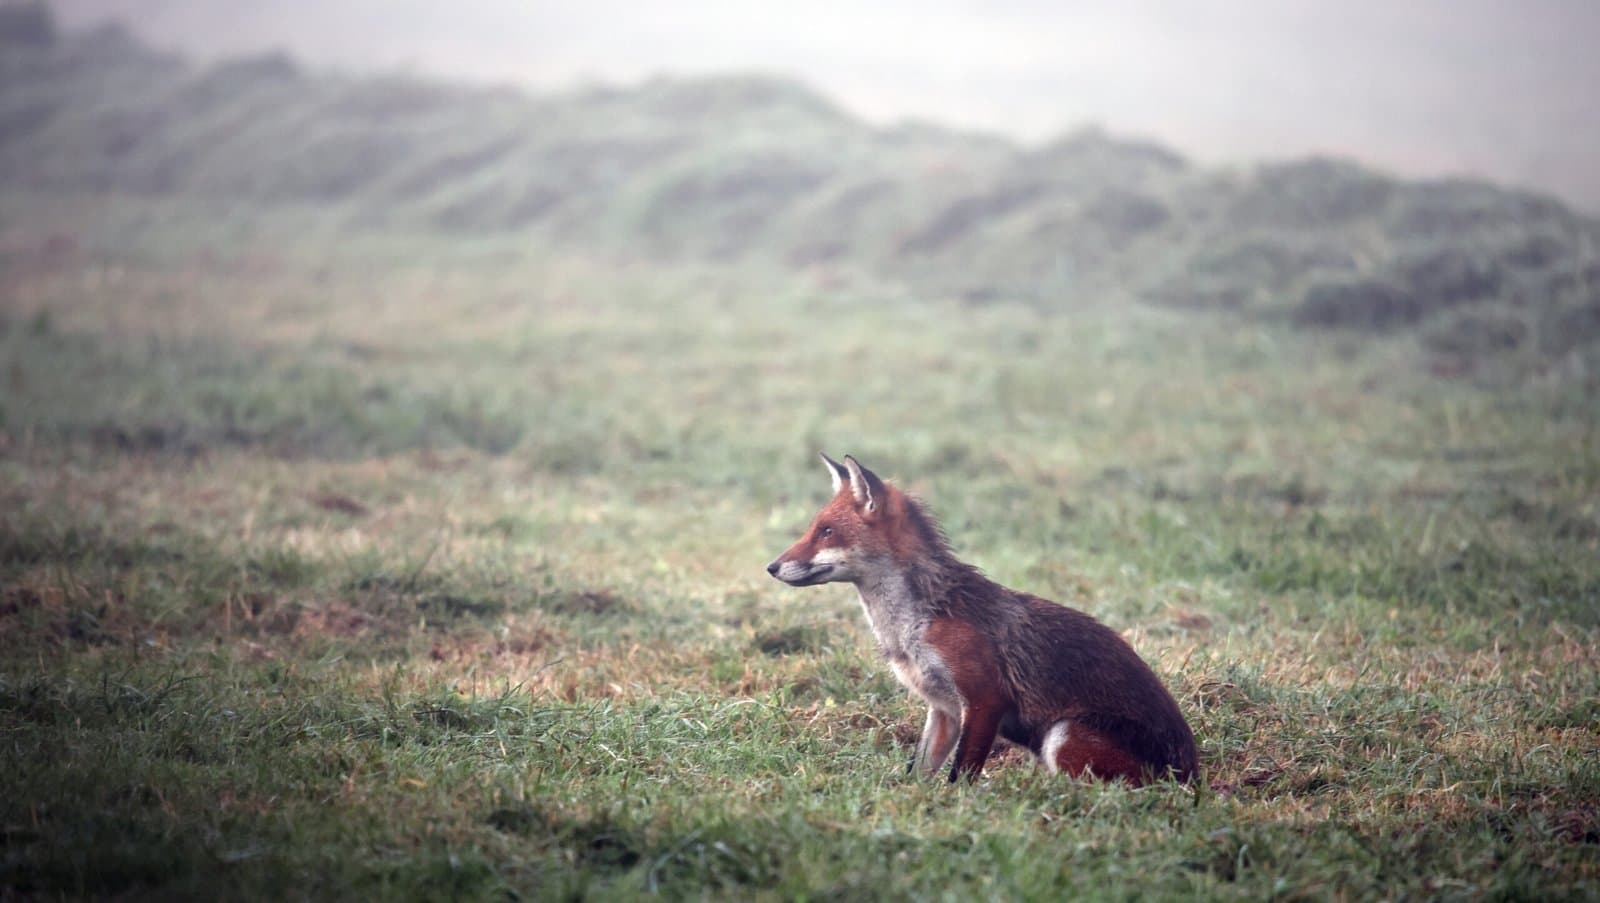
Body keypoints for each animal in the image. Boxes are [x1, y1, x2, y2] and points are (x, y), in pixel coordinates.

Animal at [766, 454, 1198, 786]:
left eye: (826, 531)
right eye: (814, 528)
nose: (771, 567)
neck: (914, 626)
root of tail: (1193, 777)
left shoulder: (985, 699)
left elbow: (960, 775)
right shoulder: (943, 711)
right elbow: (917, 773)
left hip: (1061, 735)